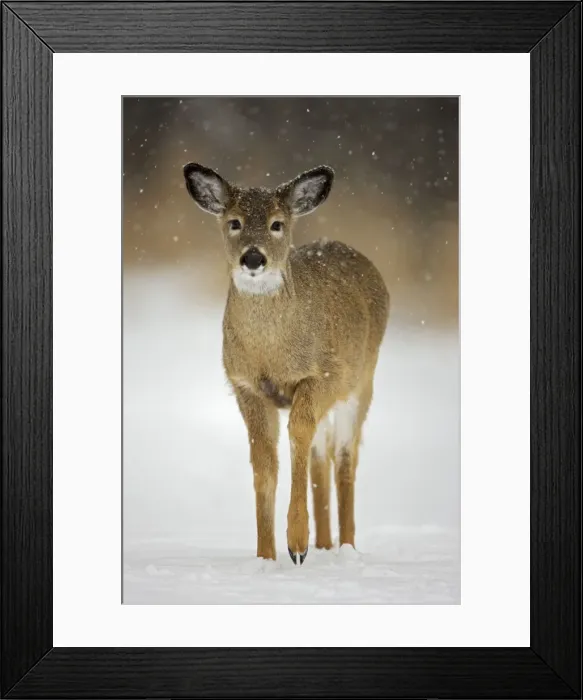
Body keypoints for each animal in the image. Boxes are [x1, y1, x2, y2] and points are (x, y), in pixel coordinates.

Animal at [183, 162, 389, 565]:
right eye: (234, 221)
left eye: (277, 223)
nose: (253, 258)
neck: (272, 353)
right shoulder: (245, 386)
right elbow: (265, 461)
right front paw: (267, 556)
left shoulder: (325, 375)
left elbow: (298, 433)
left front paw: (297, 544)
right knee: (322, 456)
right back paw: (324, 544)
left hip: (362, 382)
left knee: (345, 458)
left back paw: (345, 548)